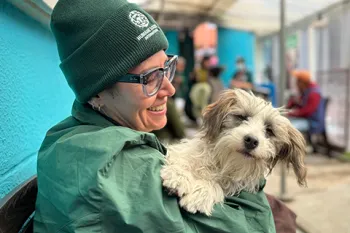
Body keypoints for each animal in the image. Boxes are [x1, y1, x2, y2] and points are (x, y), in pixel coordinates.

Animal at [161, 88, 306, 216]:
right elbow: (182, 158)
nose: (251, 141)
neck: (224, 164)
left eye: (269, 130)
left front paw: (202, 194)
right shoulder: (183, 152)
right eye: (242, 117)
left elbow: (215, 185)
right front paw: (179, 177)